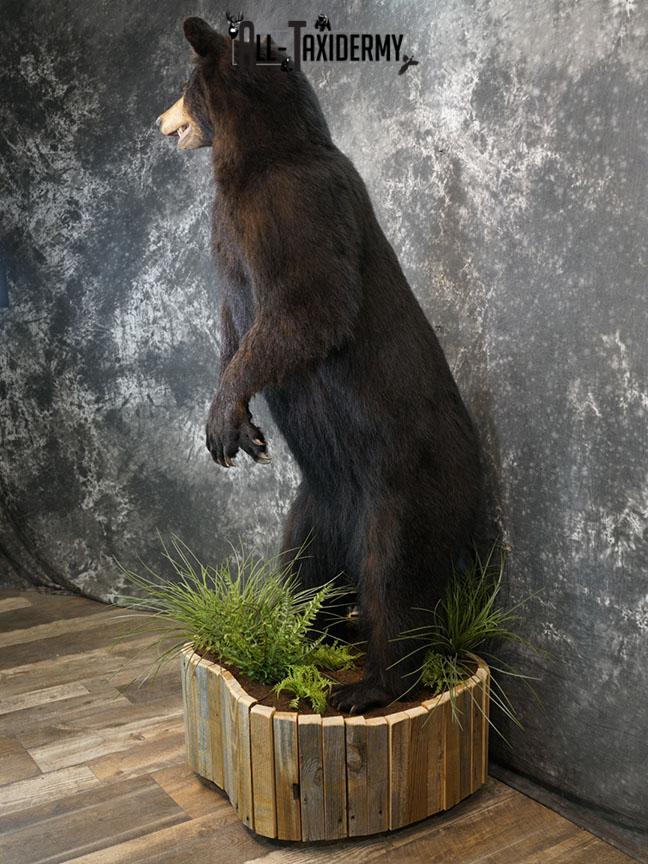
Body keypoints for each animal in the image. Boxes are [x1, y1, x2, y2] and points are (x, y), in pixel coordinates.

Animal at [157, 17, 483, 713]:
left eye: (185, 85)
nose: (161, 120)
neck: (255, 160)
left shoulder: (297, 207)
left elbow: (311, 307)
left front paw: (222, 421)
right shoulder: (230, 240)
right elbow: (234, 323)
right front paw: (242, 425)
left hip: (405, 492)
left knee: (393, 582)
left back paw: (370, 685)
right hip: (314, 505)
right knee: (304, 570)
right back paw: (298, 638)